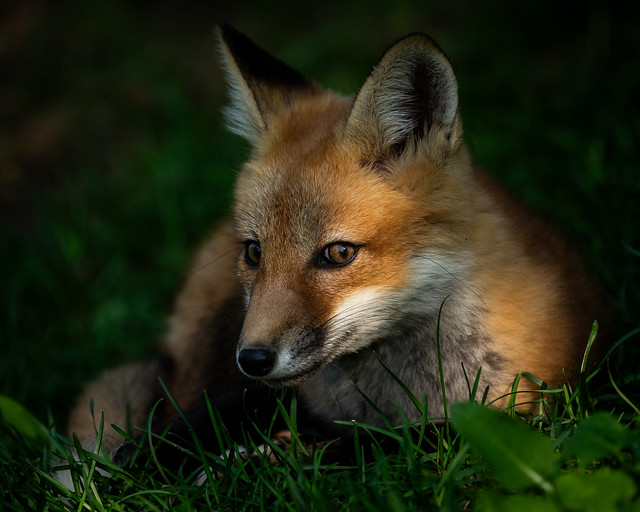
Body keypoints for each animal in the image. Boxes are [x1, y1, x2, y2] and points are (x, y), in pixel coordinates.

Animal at [67, 25, 608, 460]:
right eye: (255, 252)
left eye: (339, 253)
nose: (253, 359)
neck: (389, 397)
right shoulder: (267, 393)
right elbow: (199, 422)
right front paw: (142, 461)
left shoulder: (520, 419)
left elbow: (381, 445)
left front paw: (271, 458)